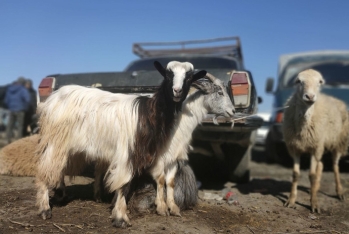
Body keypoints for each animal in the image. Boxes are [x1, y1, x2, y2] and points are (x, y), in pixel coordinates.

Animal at [34, 61, 205, 228]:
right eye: (168, 75)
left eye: (189, 78)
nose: (177, 91)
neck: (149, 113)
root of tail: (53, 98)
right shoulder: (127, 152)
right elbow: (124, 184)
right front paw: (121, 217)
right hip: (55, 139)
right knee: (45, 168)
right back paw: (45, 209)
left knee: (59, 168)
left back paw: (61, 195)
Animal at [282, 68, 348, 213]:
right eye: (299, 81)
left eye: (320, 82)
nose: (310, 97)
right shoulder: (295, 148)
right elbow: (295, 174)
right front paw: (291, 200)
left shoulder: (314, 148)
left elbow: (312, 176)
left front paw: (314, 204)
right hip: (322, 145)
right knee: (321, 165)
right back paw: (316, 188)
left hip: (337, 142)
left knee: (335, 166)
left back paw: (339, 192)